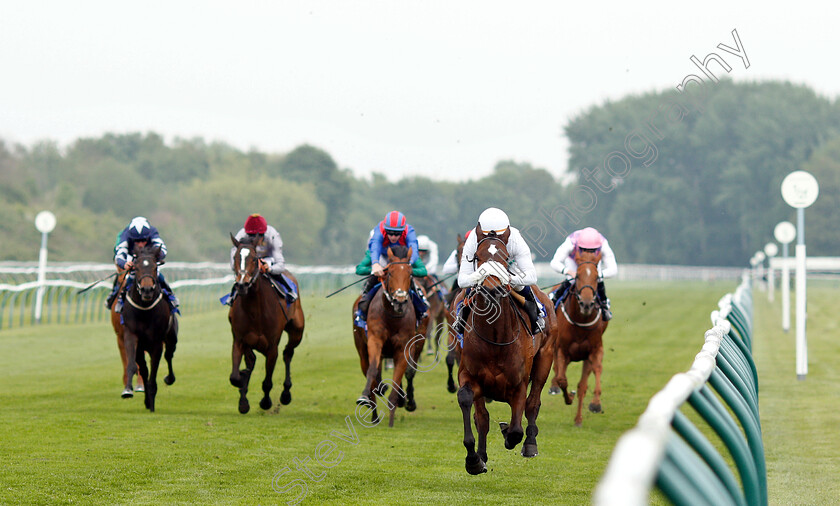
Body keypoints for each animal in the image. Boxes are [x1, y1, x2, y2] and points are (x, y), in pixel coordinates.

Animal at [120, 243, 177, 414]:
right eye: (136, 267)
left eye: (155, 267)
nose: (146, 290)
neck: (144, 310)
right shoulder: (131, 336)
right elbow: (133, 366)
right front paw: (128, 390)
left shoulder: (156, 343)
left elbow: (153, 374)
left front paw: (152, 404)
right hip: (141, 347)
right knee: (143, 368)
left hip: (171, 338)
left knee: (169, 356)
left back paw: (169, 379)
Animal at [230, 235, 306, 414]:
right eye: (235, 257)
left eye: (254, 258)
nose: (242, 284)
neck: (255, 311)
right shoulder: (239, 340)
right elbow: (235, 377)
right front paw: (243, 397)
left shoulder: (272, 346)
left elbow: (267, 382)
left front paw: (265, 402)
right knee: (251, 360)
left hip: (297, 331)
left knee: (288, 353)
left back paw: (286, 394)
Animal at [352, 245, 426, 426]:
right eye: (390, 273)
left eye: (410, 273)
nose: (400, 300)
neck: (393, 317)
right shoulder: (375, 340)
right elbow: (372, 370)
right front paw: (365, 398)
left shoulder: (403, 347)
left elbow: (400, 377)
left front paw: (393, 416)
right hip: (362, 348)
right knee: (369, 371)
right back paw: (374, 414)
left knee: (409, 372)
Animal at [452, 229, 556, 474]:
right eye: (476, 257)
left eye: (506, 257)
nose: (493, 288)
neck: (495, 337)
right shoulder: (469, 375)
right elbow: (470, 404)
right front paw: (474, 459)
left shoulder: (519, 383)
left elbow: (518, 426)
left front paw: (511, 435)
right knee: (482, 416)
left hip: (545, 359)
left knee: (533, 403)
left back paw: (530, 444)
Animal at [548, 249, 608, 426]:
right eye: (578, 276)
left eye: (596, 277)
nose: (587, 303)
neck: (581, 321)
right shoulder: (562, 350)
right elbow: (562, 379)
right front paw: (568, 397)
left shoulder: (594, 351)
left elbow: (591, 376)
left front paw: (594, 405)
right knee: (557, 372)